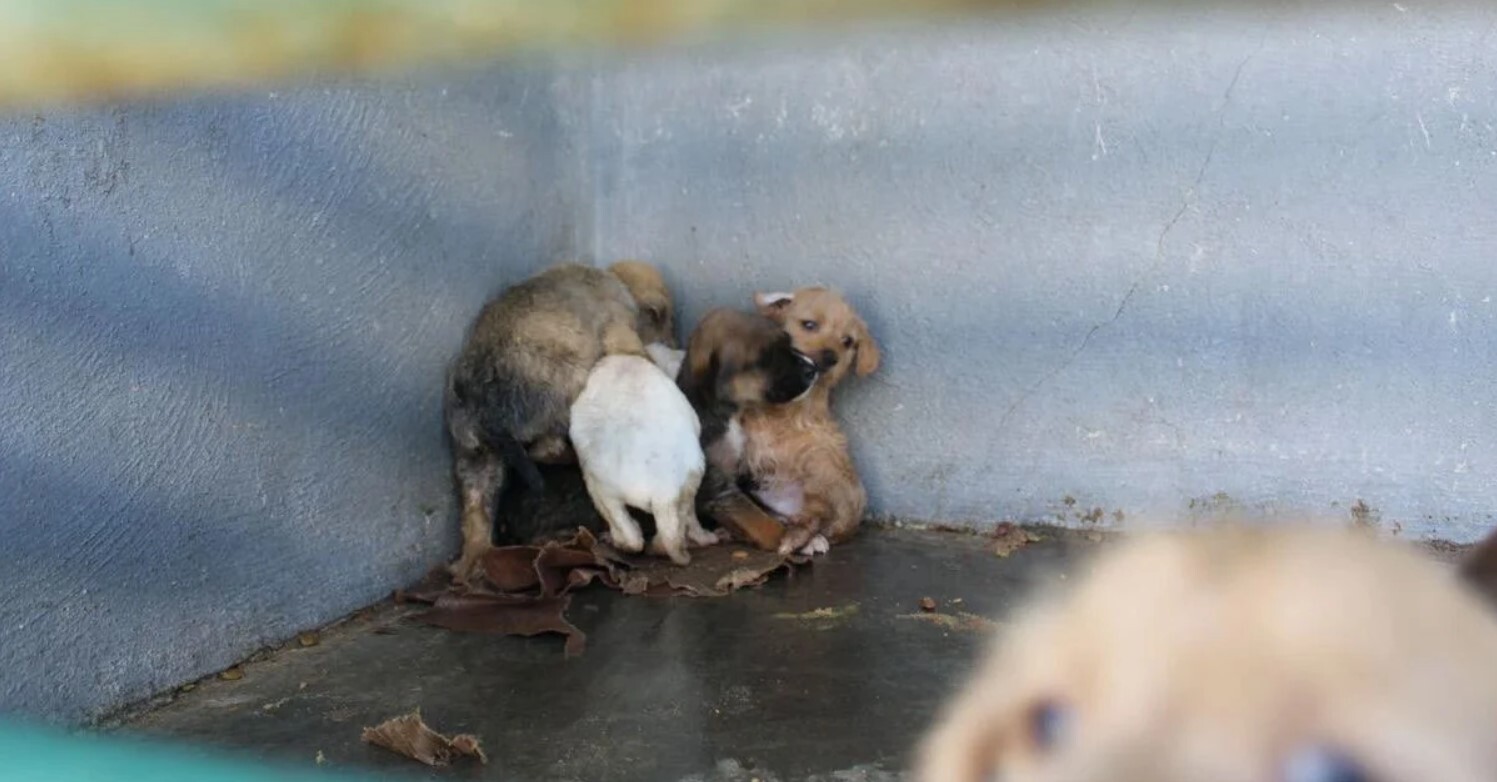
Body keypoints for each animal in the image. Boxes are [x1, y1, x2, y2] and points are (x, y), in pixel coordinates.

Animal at [565, 355, 718, 566]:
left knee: (627, 529)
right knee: (681, 520)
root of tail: (665, 488)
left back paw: (621, 542)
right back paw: (700, 540)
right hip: (690, 480)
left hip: (600, 483)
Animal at [679, 308, 820, 548]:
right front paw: (792, 539)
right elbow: (763, 523)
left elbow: (761, 509)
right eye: (765, 359)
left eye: (788, 341)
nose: (812, 368)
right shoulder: (721, 490)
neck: (730, 413)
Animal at [742, 283, 880, 551]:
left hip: (824, 476)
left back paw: (799, 539)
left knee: (816, 516)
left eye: (847, 341)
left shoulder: (821, 453)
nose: (832, 357)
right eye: (809, 324)